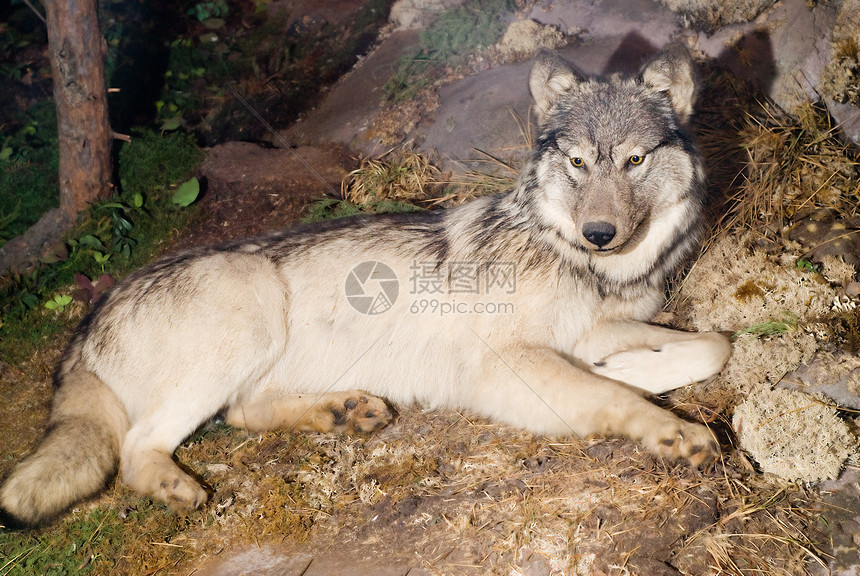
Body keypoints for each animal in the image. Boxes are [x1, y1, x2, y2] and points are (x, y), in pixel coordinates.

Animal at [0, 45, 728, 528]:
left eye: (635, 160)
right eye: (578, 162)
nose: (598, 233)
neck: (589, 268)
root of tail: (88, 321)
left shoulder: (601, 328)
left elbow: (710, 345)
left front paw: (637, 368)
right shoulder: (503, 364)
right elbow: (609, 396)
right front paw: (668, 427)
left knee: (239, 413)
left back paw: (344, 411)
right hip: (248, 308)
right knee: (136, 449)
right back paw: (177, 486)